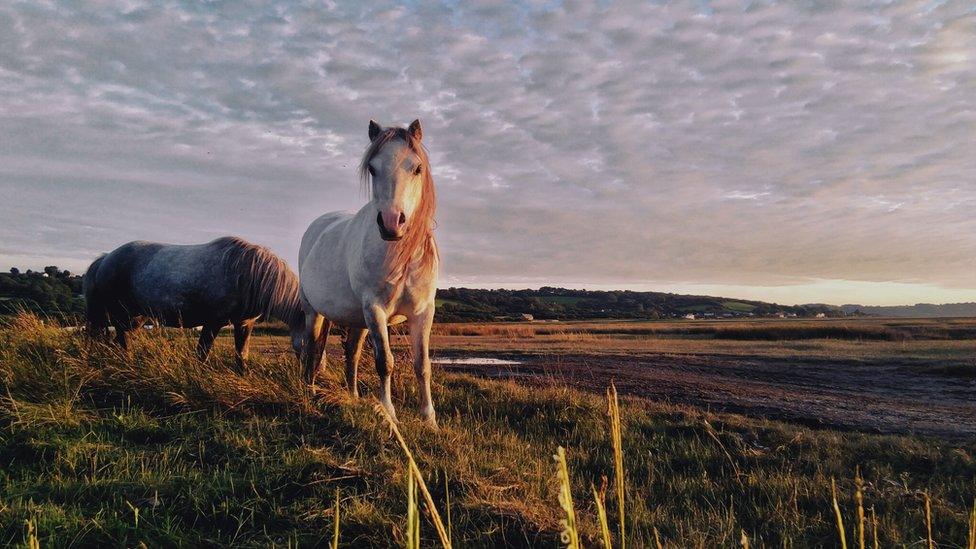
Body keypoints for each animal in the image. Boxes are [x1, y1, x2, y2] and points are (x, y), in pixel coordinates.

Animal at [296, 120, 436, 426]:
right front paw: (389, 413)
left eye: (417, 168)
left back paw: (353, 396)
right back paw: (309, 389)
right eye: (372, 168)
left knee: (352, 353)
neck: (400, 256)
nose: (392, 223)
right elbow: (385, 362)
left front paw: (429, 419)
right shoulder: (375, 310)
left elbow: (422, 364)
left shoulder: (423, 312)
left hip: (357, 319)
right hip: (314, 311)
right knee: (312, 348)